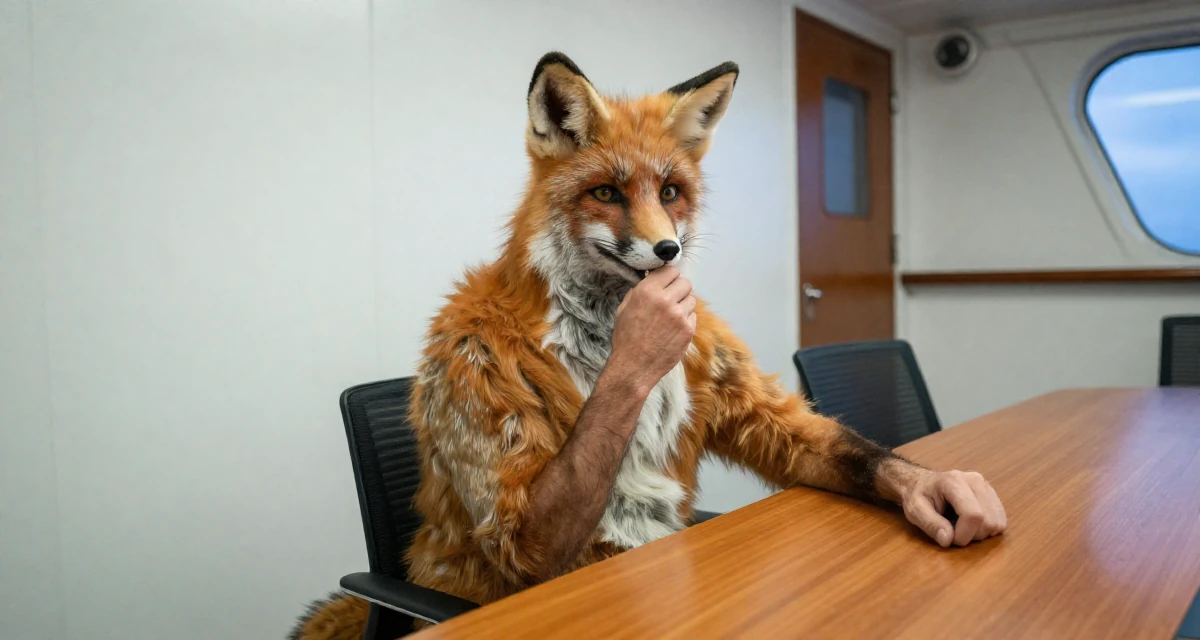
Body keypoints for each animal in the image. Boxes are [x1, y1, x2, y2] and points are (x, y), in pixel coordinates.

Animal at [291, 51, 1002, 640]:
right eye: (606, 192)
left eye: (669, 192)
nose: (668, 251)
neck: (604, 333)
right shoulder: (475, 375)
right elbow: (521, 536)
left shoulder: (721, 366)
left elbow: (805, 433)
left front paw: (931, 488)